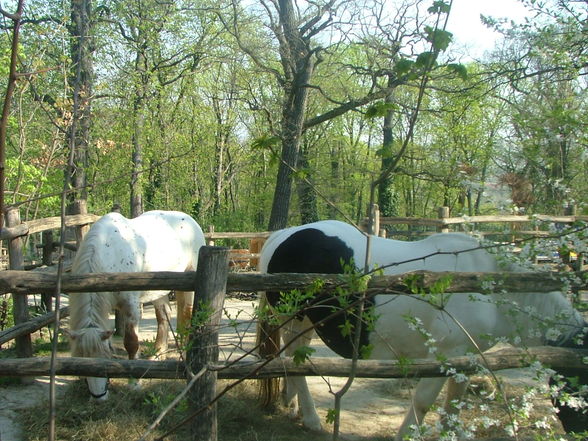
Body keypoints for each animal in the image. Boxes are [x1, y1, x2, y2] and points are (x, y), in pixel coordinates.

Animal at [68, 210, 206, 398]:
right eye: (81, 358)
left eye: (104, 357)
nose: (98, 397)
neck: (109, 252)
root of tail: (190, 220)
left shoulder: (131, 306)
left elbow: (131, 342)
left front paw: (134, 383)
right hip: (158, 289)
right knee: (164, 316)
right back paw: (158, 355)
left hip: (187, 284)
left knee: (186, 316)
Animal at [258, 222, 588, 438]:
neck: (489, 291)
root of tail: (283, 235)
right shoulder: (445, 356)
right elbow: (423, 402)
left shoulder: (466, 360)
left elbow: (454, 404)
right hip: (294, 320)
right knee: (296, 364)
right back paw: (312, 419)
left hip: (305, 325)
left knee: (294, 362)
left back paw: (294, 406)